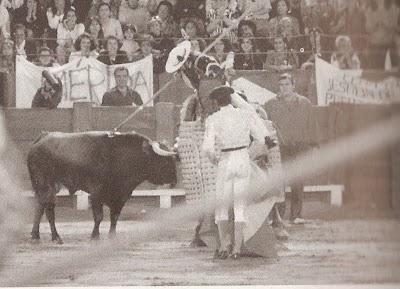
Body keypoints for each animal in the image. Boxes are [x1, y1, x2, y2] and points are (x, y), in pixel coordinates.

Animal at [27, 132, 177, 242]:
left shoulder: (121, 196)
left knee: (39, 206)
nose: (175, 180)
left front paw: (112, 236)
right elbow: (99, 216)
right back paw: (56, 237)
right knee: (49, 209)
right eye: (165, 160)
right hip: (45, 184)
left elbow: (114, 217)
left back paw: (35, 235)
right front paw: (95, 236)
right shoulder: (96, 194)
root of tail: (41, 138)